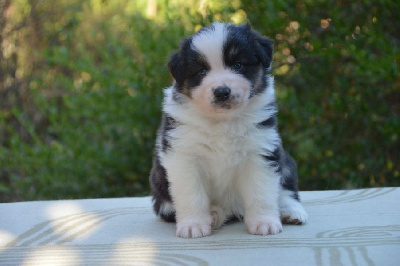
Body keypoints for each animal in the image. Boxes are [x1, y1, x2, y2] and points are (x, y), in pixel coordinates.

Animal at [148, 22, 308, 239]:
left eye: (238, 65)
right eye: (201, 71)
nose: (222, 92)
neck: (222, 120)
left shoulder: (261, 151)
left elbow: (261, 192)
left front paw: (264, 223)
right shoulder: (184, 156)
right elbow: (192, 194)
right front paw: (193, 225)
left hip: (285, 161)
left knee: (286, 191)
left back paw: (291, 212)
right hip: (159, 187)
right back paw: (214, 215)